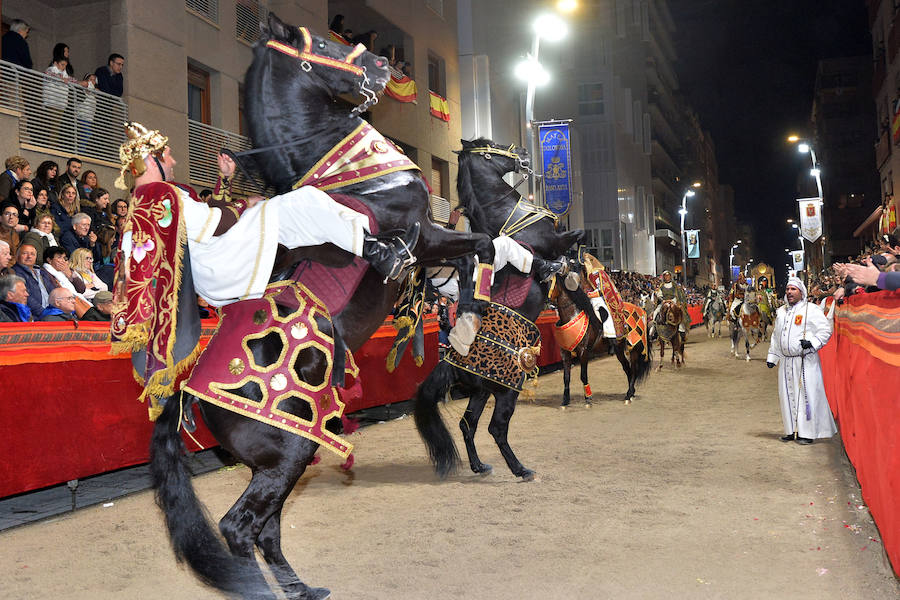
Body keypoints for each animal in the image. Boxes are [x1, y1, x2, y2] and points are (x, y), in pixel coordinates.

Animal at [149, 14, 500, 600]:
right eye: (322, 43)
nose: (383, 65)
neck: (361, 181)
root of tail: (186, 398)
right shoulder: (424, 235)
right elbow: (482, 246)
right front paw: (468, 323)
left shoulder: (430, 244)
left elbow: (475, 252)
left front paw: (460, 318)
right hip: (286, 457)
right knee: (238, 528)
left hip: (282, 461)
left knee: (266, 530)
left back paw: (303, 589)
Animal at [544, 270, 652, 406]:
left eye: (551, 283)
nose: (547, 302)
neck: (571, 315)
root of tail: (640, 311)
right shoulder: (565, 353)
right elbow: (566, 377)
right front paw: (565, 400)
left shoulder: (583, 352)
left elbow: (583, 375)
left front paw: (588, 398)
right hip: (620, 349)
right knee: (628, 368)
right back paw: (630, 393)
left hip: (634, 347)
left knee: (633, 369)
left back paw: (629, 394)